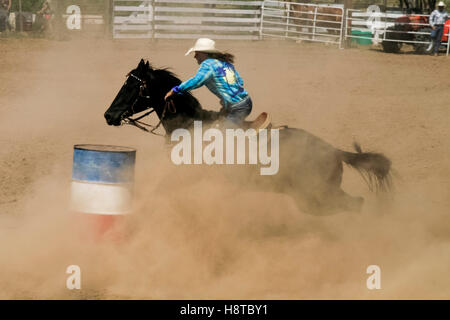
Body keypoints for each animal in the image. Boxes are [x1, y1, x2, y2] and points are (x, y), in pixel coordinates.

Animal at [103, 60, 392, 215]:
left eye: (131, 85)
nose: (108, 115)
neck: (192, 126)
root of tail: (333, 150)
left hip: (318, 195)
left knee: (355, 204)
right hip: (312, 197)